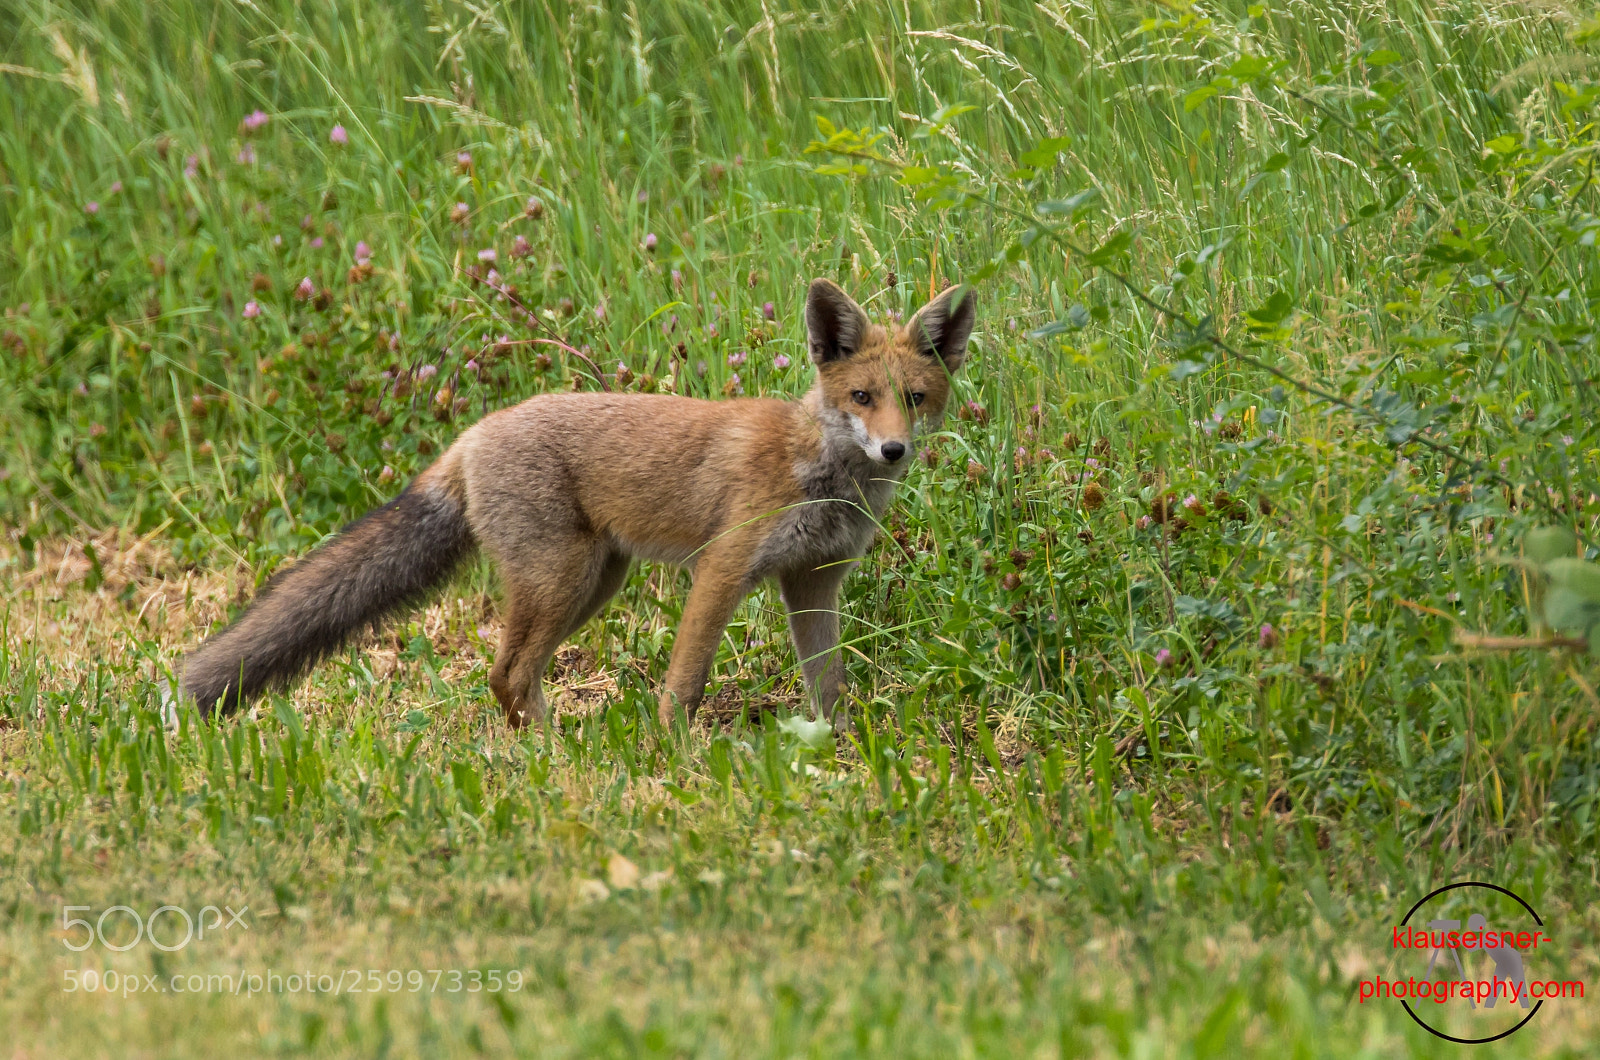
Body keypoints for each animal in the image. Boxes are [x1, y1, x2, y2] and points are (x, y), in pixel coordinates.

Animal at [180, 278, 977, 727]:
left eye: (914, 399)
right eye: (861, 398)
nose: (893, 451)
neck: (818, 469)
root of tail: (472, 434)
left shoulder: (813, 581)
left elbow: (829, 686)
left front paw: (839, 749)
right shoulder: (722, 569)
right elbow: (684, 683)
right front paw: (670, 757)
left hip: (594, 583)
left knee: (515, 677)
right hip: (561, 581)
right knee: (504, 674)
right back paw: (552, 759)